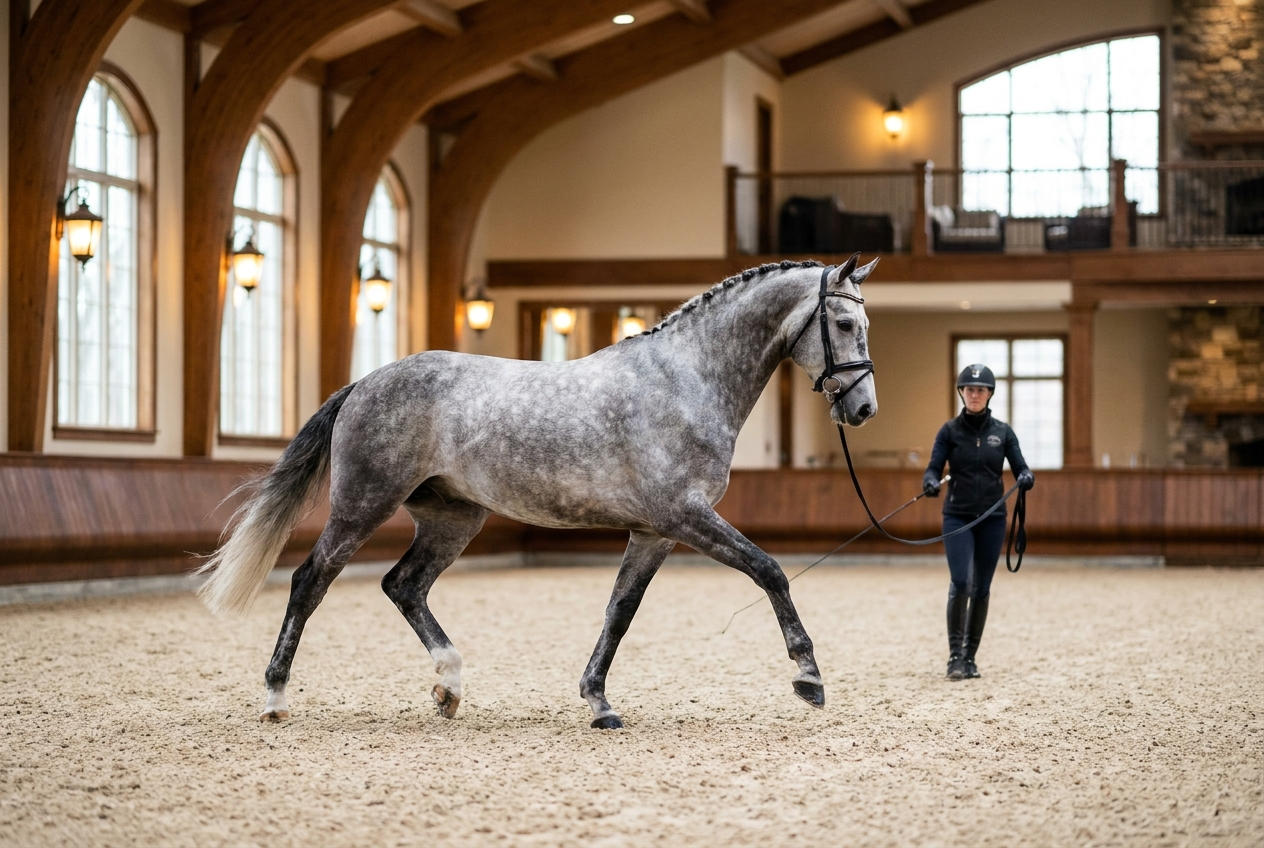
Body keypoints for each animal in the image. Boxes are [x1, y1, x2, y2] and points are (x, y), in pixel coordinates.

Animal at [198, 254, 879, 729]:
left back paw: (449, 687)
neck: (685, 380)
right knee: (309, 580)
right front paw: (809, 677)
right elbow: (770, 571)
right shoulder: (686, 516)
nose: (864, 409)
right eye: (845, 322)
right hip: (363, 506)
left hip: (453, 520)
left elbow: (619, 612)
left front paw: (599, 703)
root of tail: (365, 382)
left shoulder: (654, 533)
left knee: (404, 585)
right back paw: (276, 697)